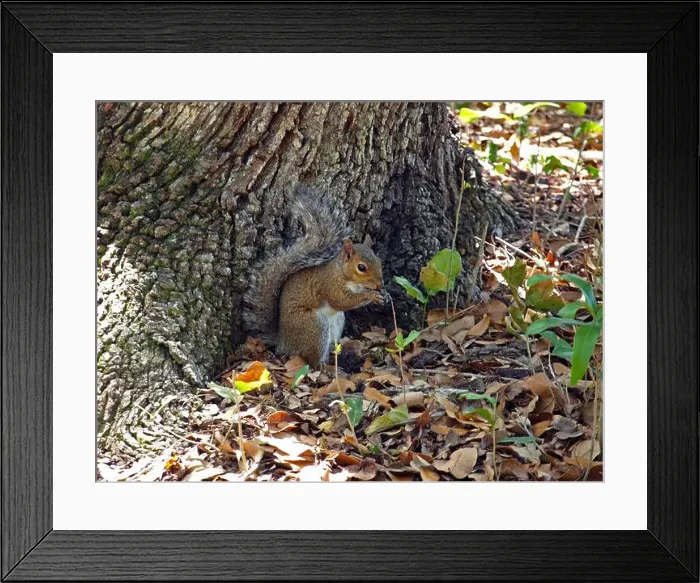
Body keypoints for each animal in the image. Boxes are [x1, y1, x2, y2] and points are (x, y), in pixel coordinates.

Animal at [242, 187, 384, 369]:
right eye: (361, 267)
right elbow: (341, 301)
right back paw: (323, 367)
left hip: (337, 321)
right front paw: (371, 295)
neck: (342, 274)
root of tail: (283, 343)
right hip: (314, 325)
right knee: (313, 359)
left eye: (379, 261)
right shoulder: (329, 285)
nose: (380, 284)